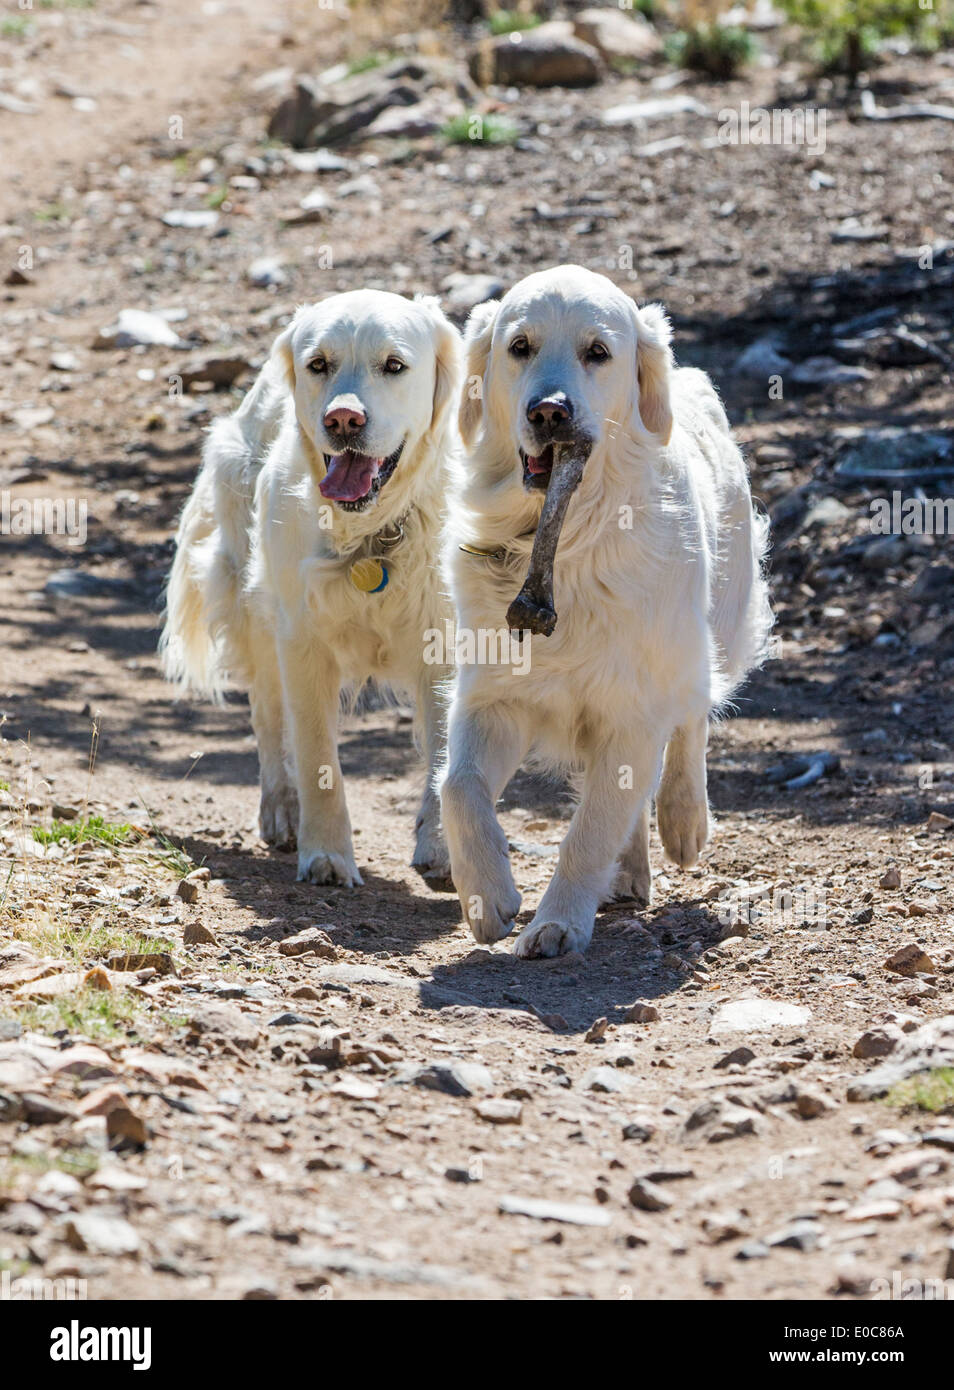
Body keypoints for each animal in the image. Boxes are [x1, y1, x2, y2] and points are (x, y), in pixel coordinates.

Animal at [164, 287, 464, 884]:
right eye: (318, 364)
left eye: (394, 365)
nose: (344, 419)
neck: (371, 535)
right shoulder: (302, 641)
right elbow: (316, 755)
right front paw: (326, 854)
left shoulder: (443, 640)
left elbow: (443, 751)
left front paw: (441, 847)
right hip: (253, 604)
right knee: (268, 715)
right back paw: (282, 810)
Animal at [445, 262, 773, 956]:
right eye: (519, 347)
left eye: (598, 353)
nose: (549, 411)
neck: (565, 539)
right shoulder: (494, 695)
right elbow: (457, 787)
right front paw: (489, 895)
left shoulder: (632, 708)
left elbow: (590, 827)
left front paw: (558, 922)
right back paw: (629, 871)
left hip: (710, 630)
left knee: (692, 716)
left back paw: (683, 818)